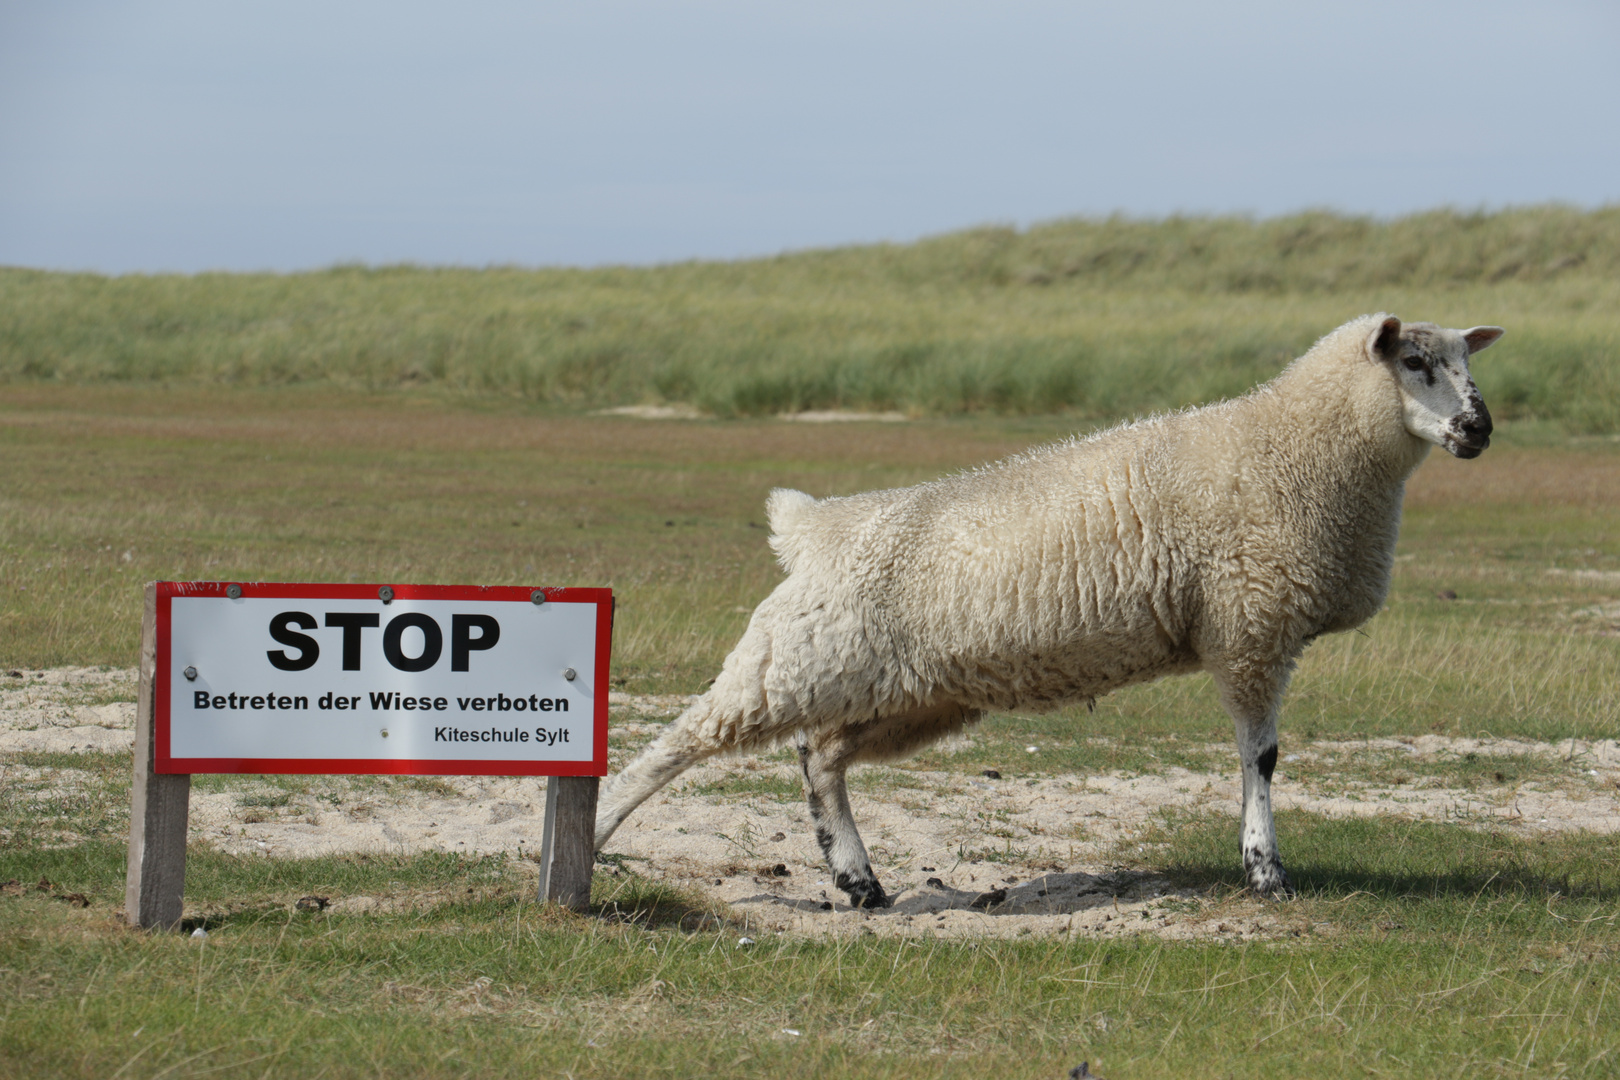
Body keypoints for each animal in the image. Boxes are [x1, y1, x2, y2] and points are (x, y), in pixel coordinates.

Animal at [596, 312, 1503, 906]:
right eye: (1414, 361)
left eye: (1467, 362)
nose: (1480, 427)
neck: (1296, 446)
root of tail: (816, 526)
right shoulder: (1250, 627)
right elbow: (1263, 760)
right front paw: (1265, 871)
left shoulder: (1255, 632)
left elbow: (1262, 759)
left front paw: (1264, 865)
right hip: (796, 657)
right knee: (683, 743)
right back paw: (599, 834)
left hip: (912, 694)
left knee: (820, 759)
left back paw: (859, 880)